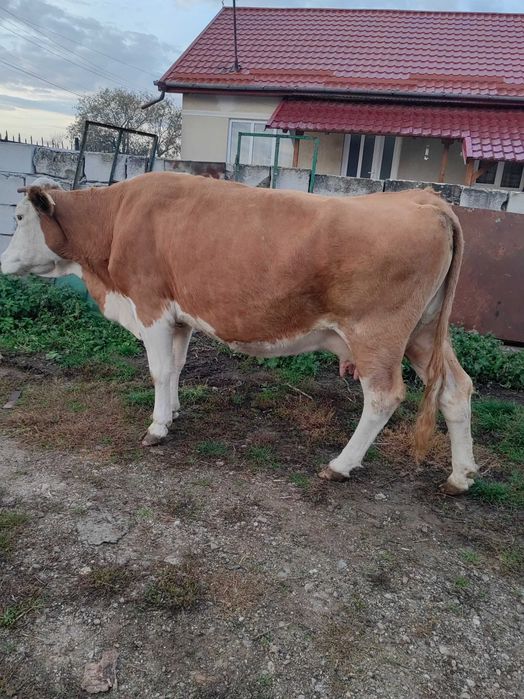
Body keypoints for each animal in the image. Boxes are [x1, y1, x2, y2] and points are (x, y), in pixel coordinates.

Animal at [0, 172, 478, 494]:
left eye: (19, 215)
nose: (2, 263)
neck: (117, 218)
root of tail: (426, 200)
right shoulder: (180, 315)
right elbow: (177, 367)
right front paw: (174, 411)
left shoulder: (151, 305)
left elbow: (158, 370)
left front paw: (157, 426)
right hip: (425, 332)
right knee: (457, 389)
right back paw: (460, 475)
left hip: (378, 334)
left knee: (383, 397)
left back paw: (340, 464)